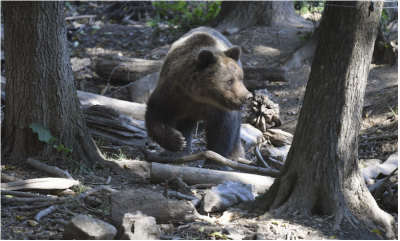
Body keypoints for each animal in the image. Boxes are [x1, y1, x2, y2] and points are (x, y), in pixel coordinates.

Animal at [147, 26, 252, 169]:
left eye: (240, 78)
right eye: (229, 81)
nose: (247, 96)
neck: (198, 95)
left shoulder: (217, 108)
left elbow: (222, 129)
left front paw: (214, 162)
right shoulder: (172, 94)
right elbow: (157, 115)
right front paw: (178, 142)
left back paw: (236, 155)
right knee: (184, 124)